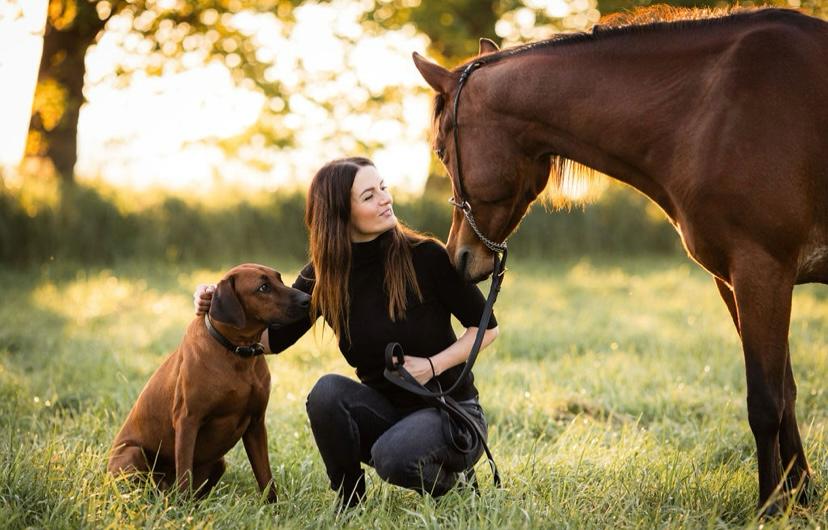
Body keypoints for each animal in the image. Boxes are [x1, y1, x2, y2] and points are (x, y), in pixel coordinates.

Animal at [413, 6, 828, 513]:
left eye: (440, 150)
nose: (459, 257)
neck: (715, 109)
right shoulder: (738, 281)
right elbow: (787, 393)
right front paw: (800, 496)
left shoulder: (760, 271)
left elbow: (766, 402)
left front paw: (770, 507)